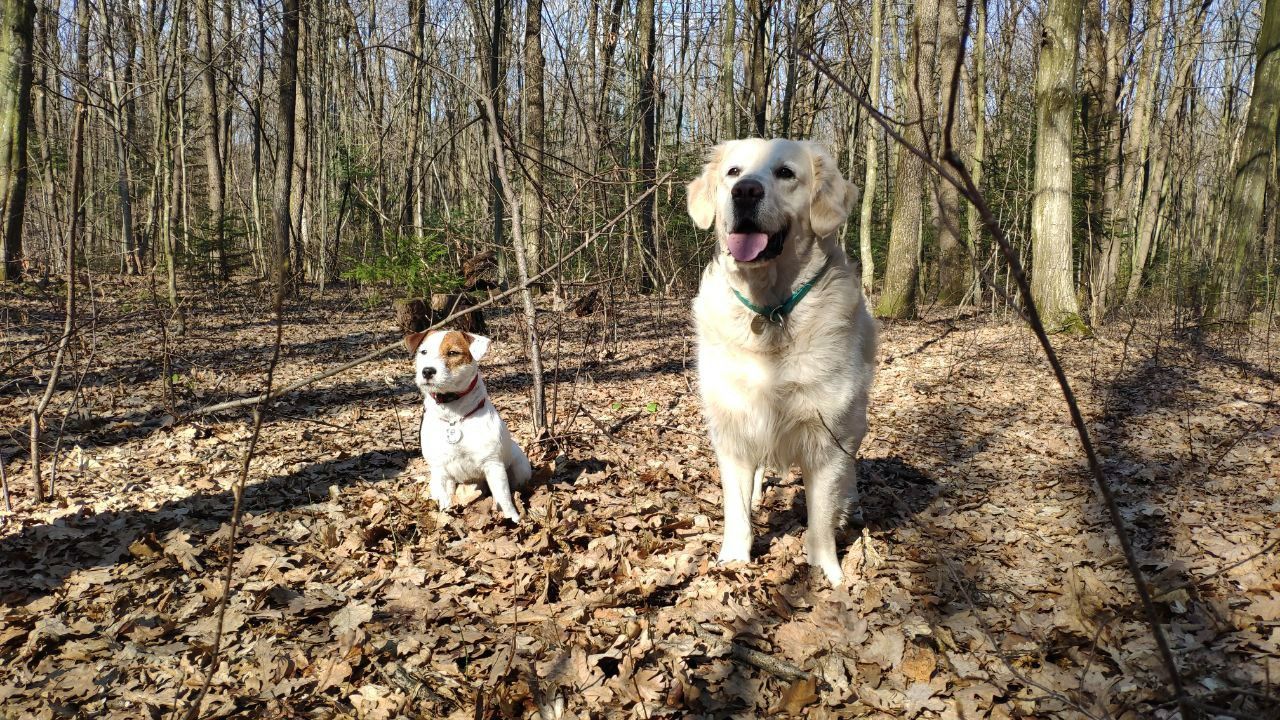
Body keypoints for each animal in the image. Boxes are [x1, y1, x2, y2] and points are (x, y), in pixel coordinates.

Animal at [407, 327, 532, 517]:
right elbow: (445, 500)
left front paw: (512, 518)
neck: (453, 415)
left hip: (520, 471)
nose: (427, 371)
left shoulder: (493, 465)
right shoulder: (441, 470)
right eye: (423, 352)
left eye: (453, 353)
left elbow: (503, 498)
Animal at [691, 137, 880, 586]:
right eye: (733, 172)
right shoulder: (734, 429)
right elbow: (736, 511)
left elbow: (821, 518)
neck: (770, 312)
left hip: (854, 422)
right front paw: (733, 562)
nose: (744, 191)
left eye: (785, 173)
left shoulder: (828, 438)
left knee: (850, 471)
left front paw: (828, 574)